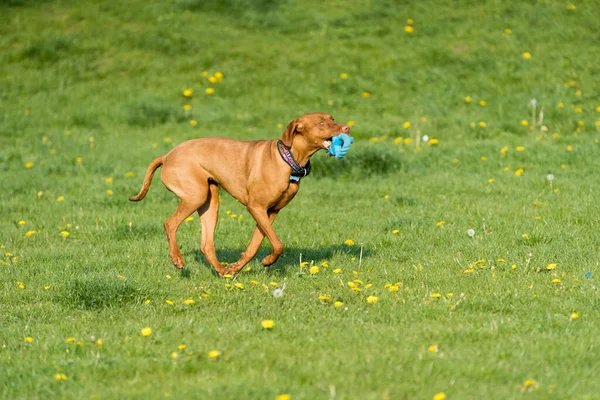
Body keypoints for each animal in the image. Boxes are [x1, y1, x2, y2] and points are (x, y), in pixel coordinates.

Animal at [129, 111, 350, 276]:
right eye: (321, 122)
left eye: (333, 119)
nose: (347, 128)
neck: (287, 159)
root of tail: (167, 156)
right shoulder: (256, 208)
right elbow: (278, 244)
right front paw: (268, 260)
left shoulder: (270, 212)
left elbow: (254, 246)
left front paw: (238, 266)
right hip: (195, 195)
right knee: (170, 224)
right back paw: (177, 259)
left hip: (210, 200)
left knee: (206, 244)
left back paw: (222, 271)